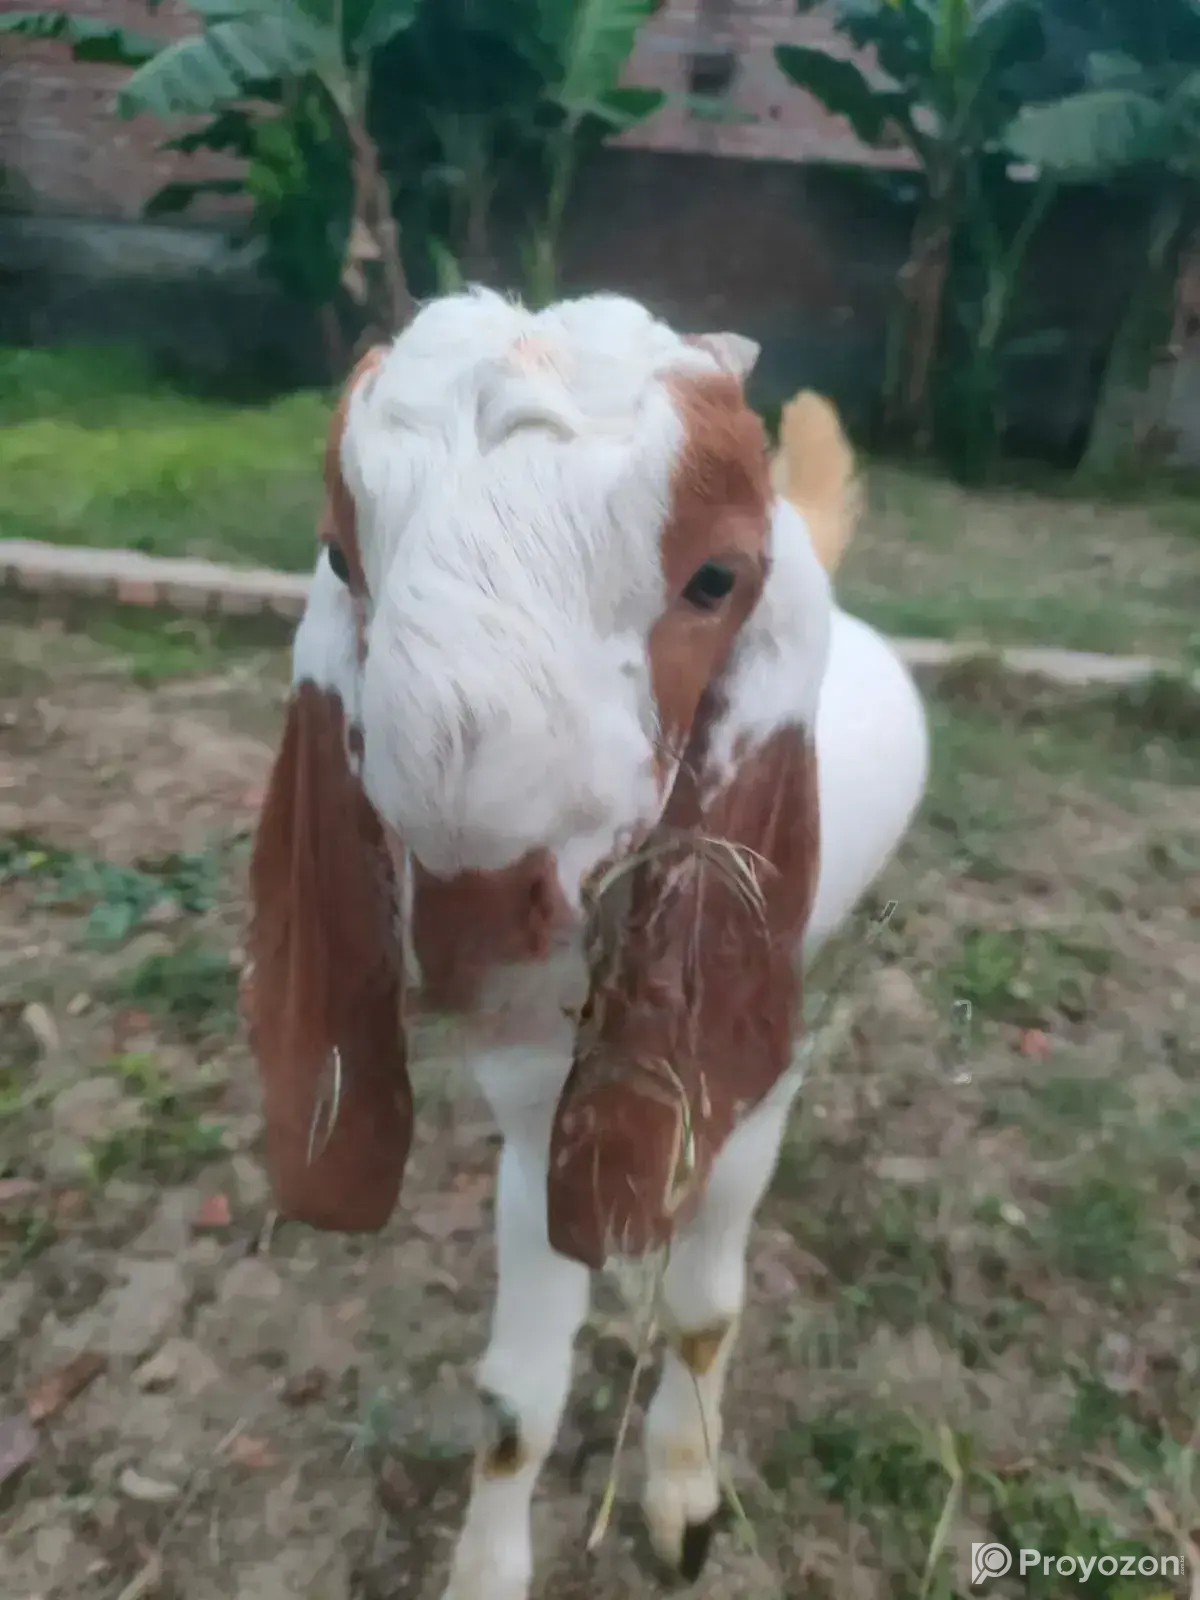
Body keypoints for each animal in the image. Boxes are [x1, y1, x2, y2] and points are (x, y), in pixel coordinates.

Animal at [245, 288, 929, 1599]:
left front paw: (682, 1492)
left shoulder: (752, 1078)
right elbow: (515, 1399)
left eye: (715, 576)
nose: (474, 918)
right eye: (343, 557)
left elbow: (705, 1302)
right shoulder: (526, 1116)